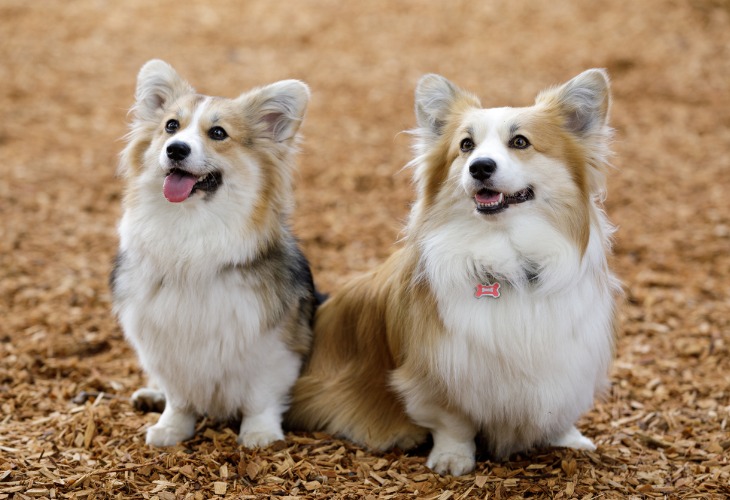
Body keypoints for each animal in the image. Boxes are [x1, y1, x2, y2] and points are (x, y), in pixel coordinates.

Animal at [111, 59, 318, 450]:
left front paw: (260, 434)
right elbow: (178, 397)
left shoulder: (273, 348)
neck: (192, 230)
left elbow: (260, 396)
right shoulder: (165, 345)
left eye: (218, 133)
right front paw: (171, 428)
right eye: (171, 126)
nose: (175, 149)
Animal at [288, 70, 616, 476]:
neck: (507, 257)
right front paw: (452, 458)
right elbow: (452, 423)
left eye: (520, 141)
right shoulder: (436, 373)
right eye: (466, 145)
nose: (480, 166)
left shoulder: (568, 362)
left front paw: (568, 438)